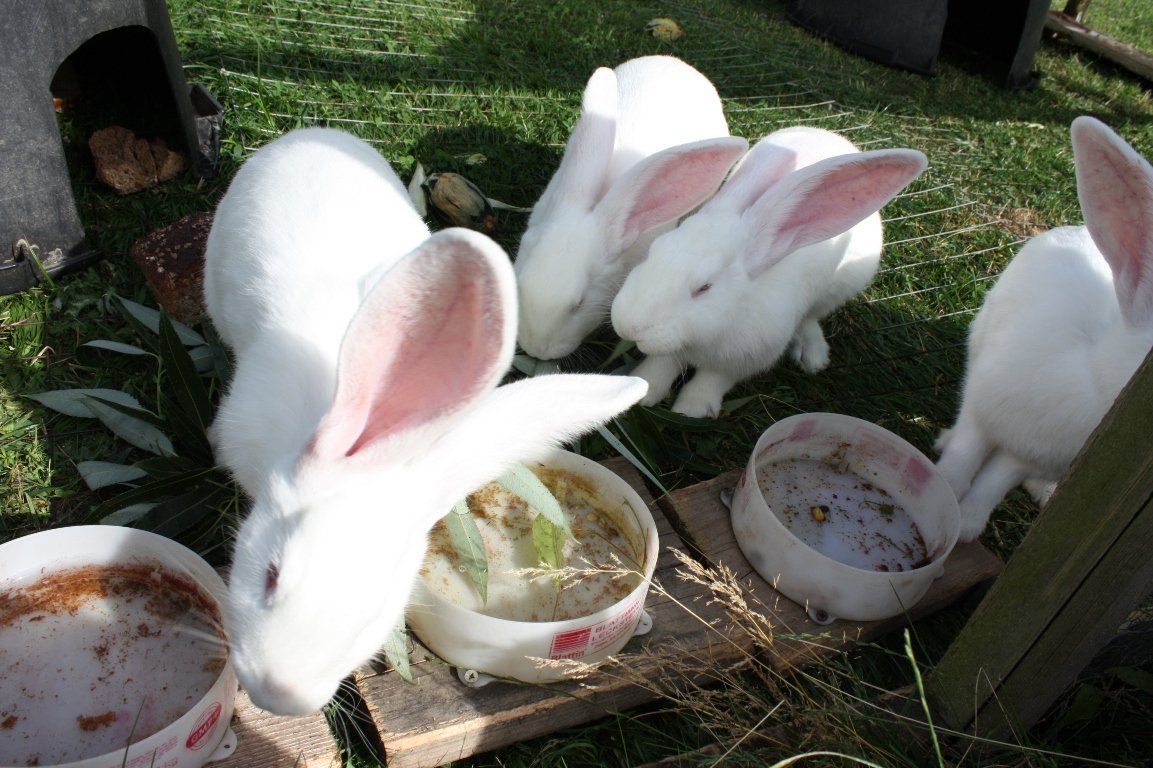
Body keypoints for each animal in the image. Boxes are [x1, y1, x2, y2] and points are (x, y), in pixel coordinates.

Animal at [610, 126, 928, 418]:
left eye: (704, 287)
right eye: (653, 252)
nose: (628, 326)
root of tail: (833, 135)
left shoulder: (745, 359)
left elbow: (713, 379)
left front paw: (692, 410)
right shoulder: (673, 350)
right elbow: (660, 366)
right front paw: (641, 391)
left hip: (841, 287)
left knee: (811, 318)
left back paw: (813, 356)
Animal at [935, 116, 1153, 542]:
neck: (1093, 381)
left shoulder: (1029, 456)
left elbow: (995, 483)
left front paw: (967, 523)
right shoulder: (982, 408)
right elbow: (964, 455)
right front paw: (943, 491)